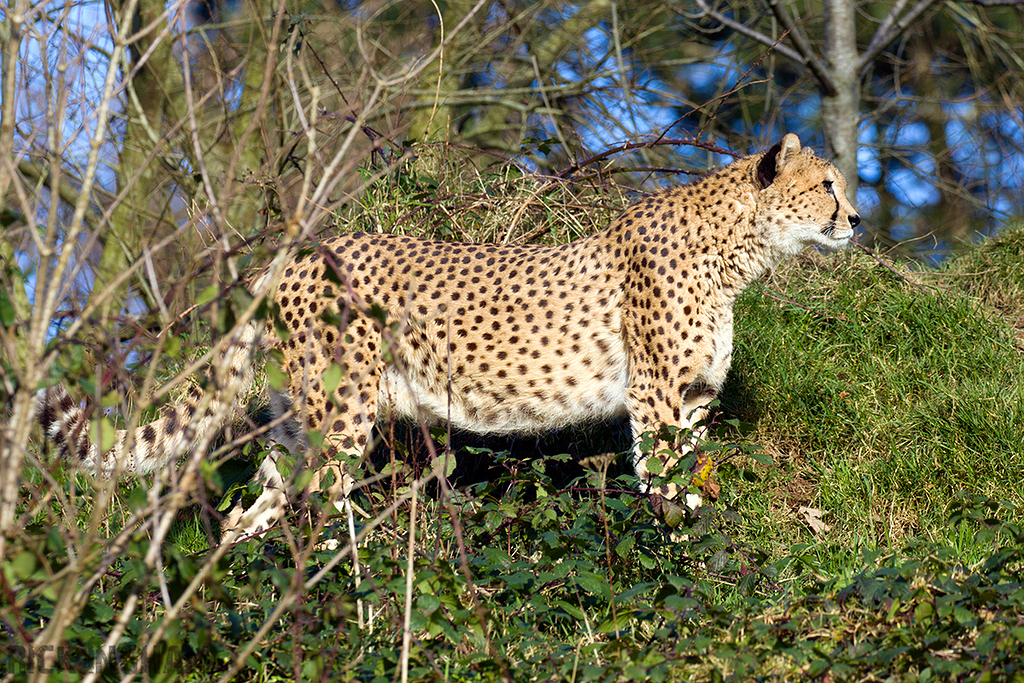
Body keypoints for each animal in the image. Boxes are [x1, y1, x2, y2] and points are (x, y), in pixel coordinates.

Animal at [36, 133, 860, 540]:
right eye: (827, 184)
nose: (856, 218)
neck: (737, 247)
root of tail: (295, 254)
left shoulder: (692, 398)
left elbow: (690, 478)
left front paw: (700, 544)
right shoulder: (655, 397)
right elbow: (662, 482)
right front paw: (681, 559)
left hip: (301, 418)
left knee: (259, 506)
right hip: (342, 411)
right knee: (320, 502)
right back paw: (349, 600)